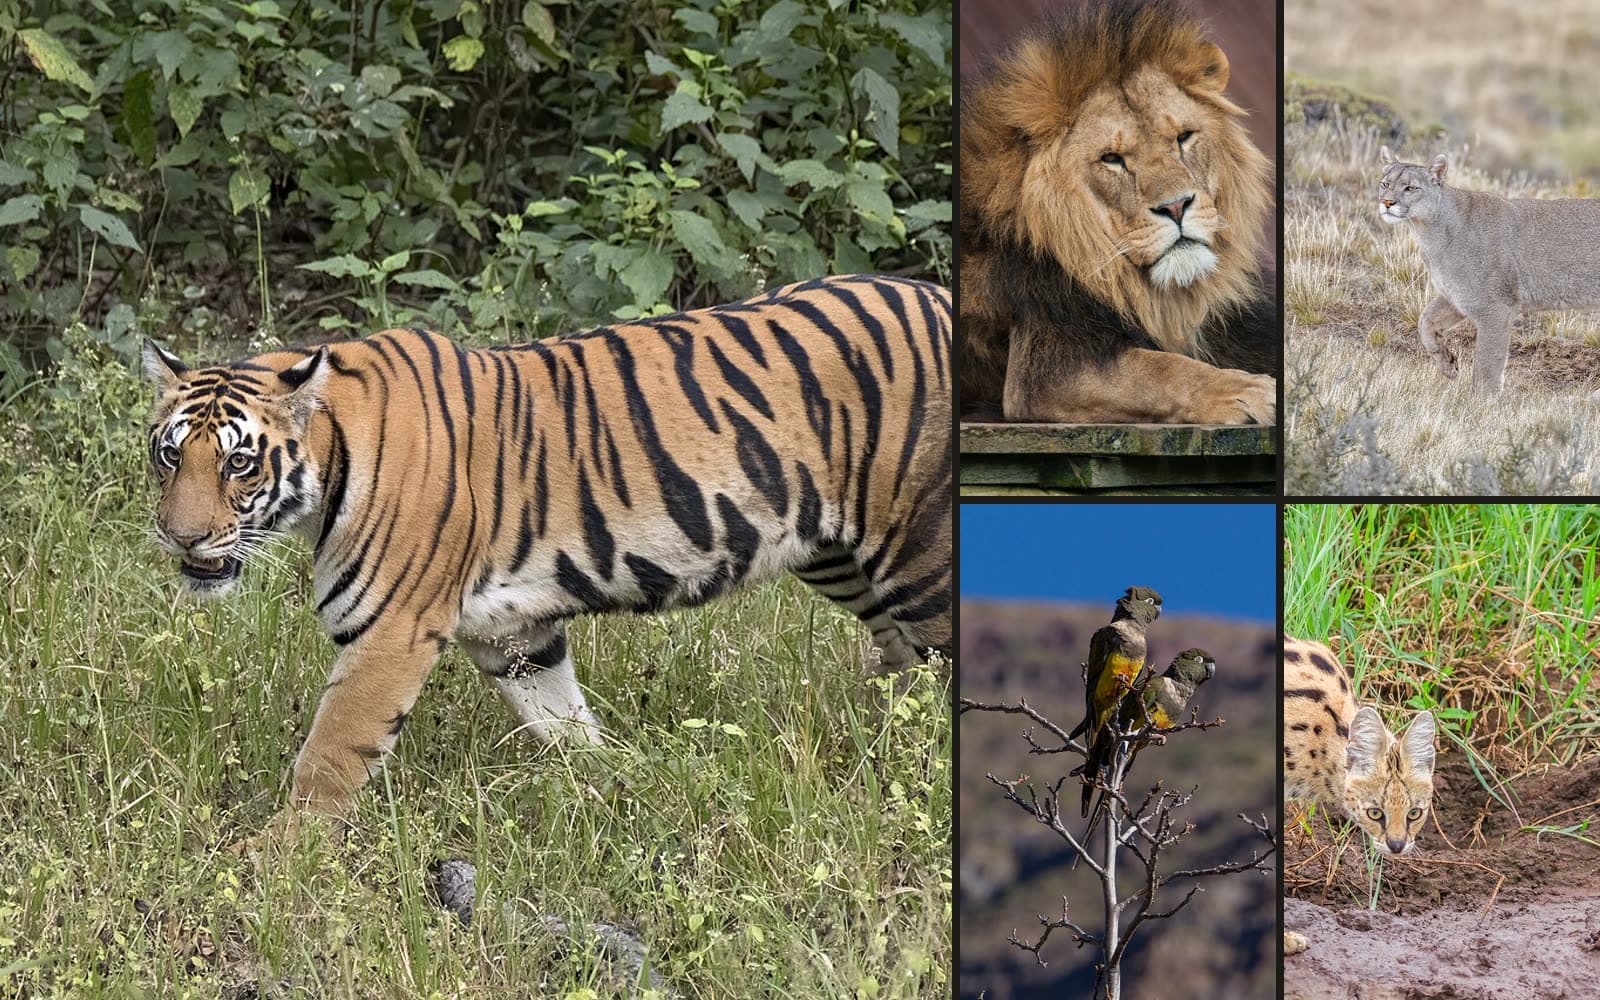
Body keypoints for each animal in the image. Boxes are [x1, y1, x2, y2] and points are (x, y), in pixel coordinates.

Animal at [141, 273, 953, 835]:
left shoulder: (389, 634)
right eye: (170, 455)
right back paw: (874, 731)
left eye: (240, 463)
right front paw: (615, 785)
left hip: (922, 554)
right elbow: (563, 722)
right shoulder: (514, 632)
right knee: (899, 655)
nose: (181, 537)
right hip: (836, 553)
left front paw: (278, 858)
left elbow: (331, 756)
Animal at [960, 0, 1278, 425]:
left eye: (1184, 137)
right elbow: (1160, 369)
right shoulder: (1043, 369)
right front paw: (1250, 391)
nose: (1176, 205)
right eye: (1112, 159)